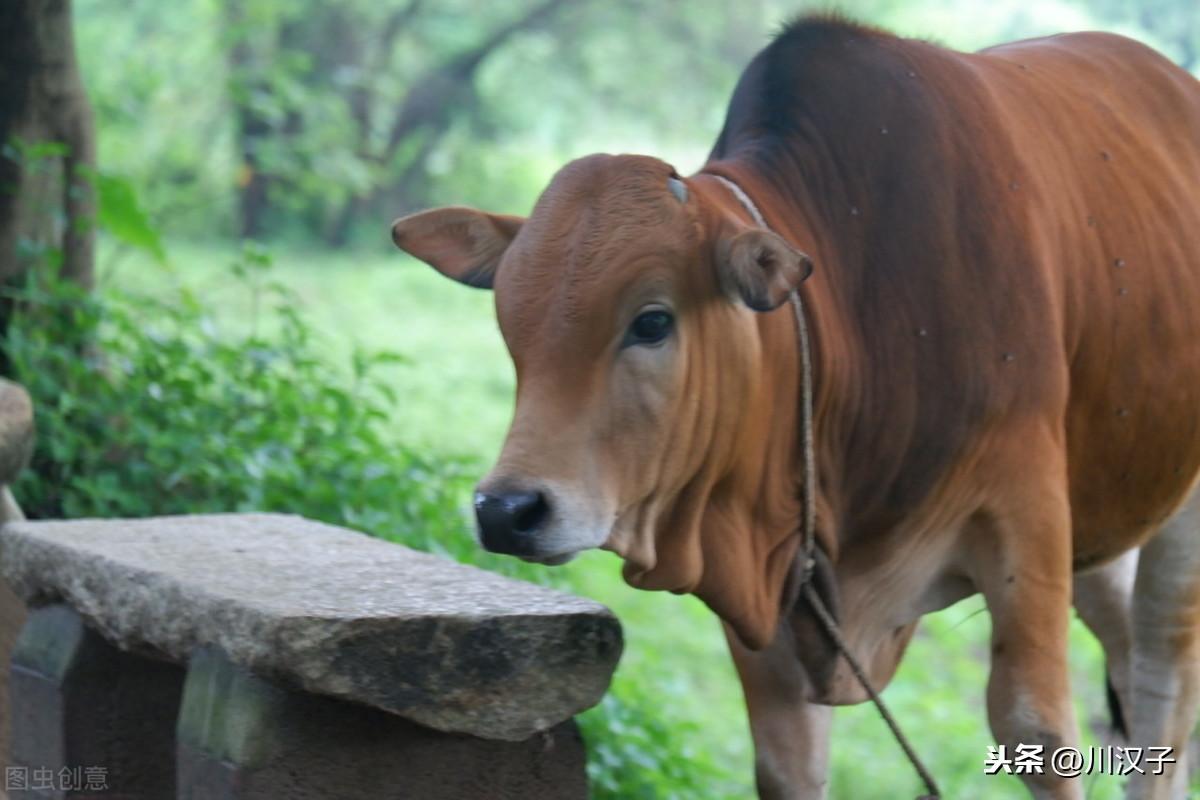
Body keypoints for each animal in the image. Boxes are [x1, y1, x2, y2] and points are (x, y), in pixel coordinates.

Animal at [388, 17, 1200, 800]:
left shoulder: (1025, 517)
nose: (507, 510)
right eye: (509, 321)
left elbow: (1039, 731)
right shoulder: (767, 587)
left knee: (1162, 673)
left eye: (652, 321)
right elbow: (787, 764)